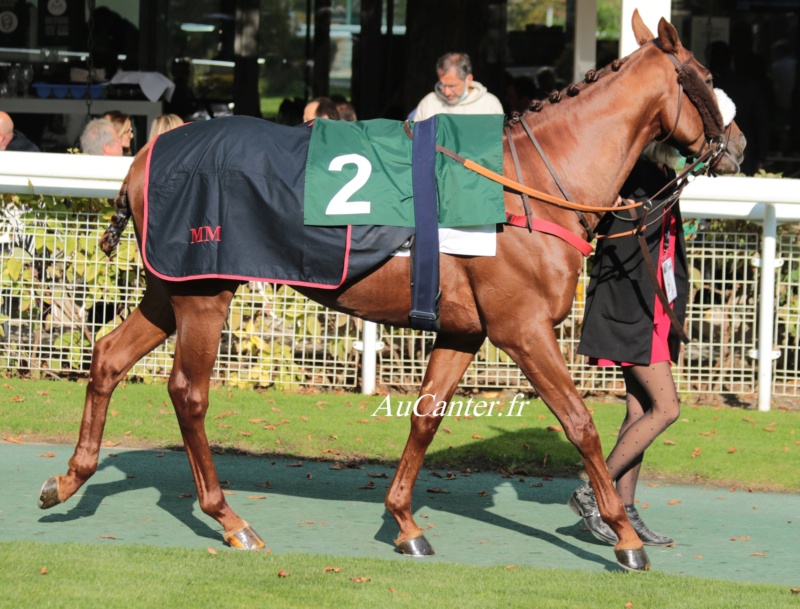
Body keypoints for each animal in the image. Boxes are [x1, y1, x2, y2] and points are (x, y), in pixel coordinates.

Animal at [37, 10, 744, 568]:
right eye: (706, 74)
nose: (737, 142)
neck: (529, 186)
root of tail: (143, 157)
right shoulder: (522, 329)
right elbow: (580, 423)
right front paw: (624, 535)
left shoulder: (465, 329)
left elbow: (426, 417)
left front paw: (405, 522)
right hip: (205, 293)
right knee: (189, 393)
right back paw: (230, 519)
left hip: (169, 289)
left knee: (108, 356)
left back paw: (68, 481)